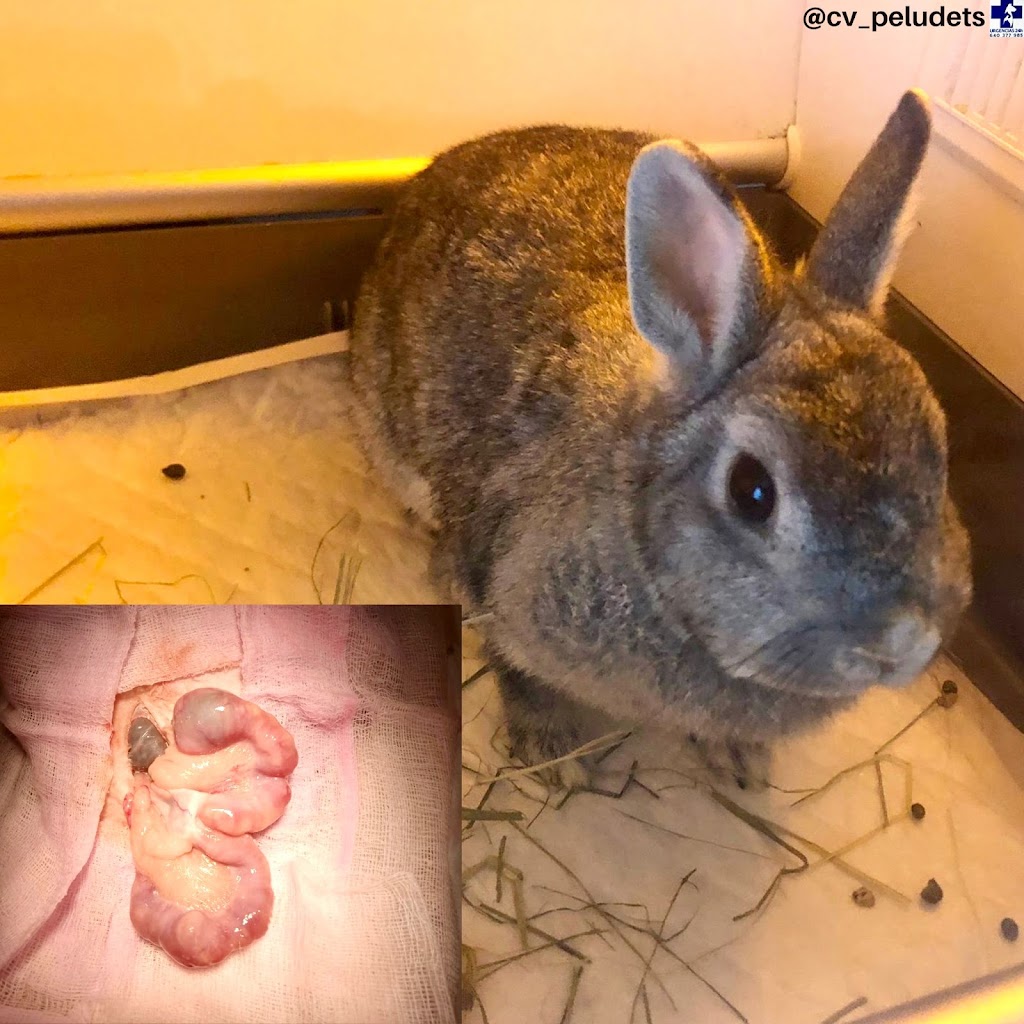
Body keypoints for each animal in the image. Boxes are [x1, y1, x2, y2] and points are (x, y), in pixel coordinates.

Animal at [348, 89, 972, 789]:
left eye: (937, 450)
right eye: (751, 491)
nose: (901, 644)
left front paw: (741, 763)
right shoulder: (488, 582)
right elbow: (513, 665)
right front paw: (551, 752)